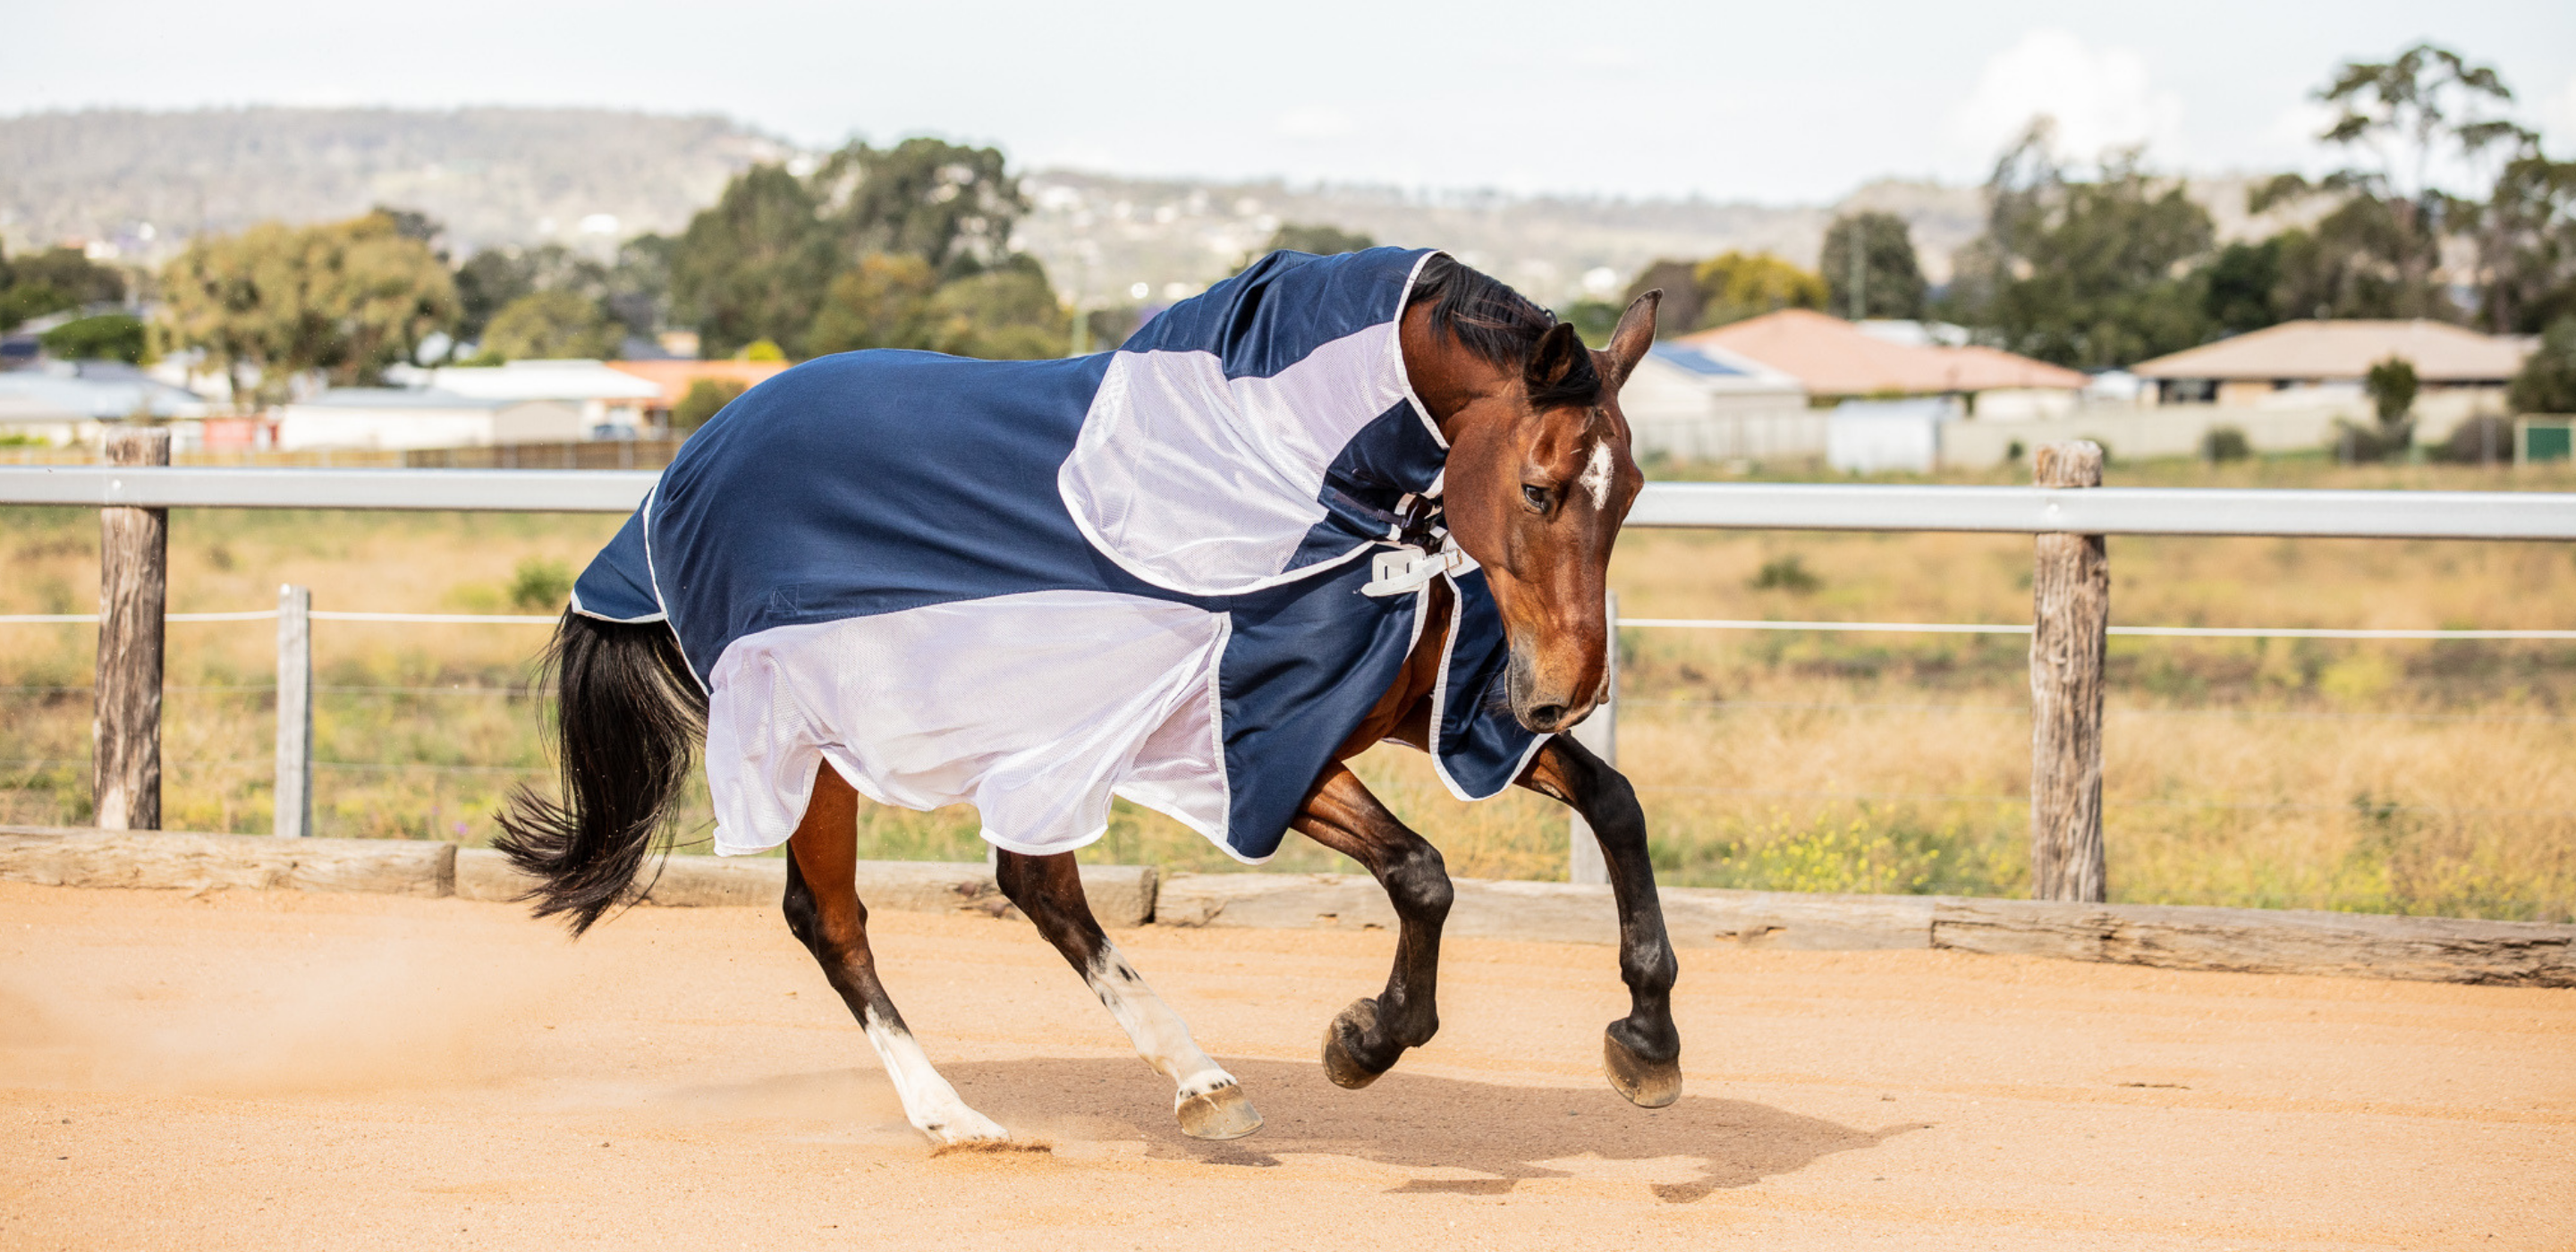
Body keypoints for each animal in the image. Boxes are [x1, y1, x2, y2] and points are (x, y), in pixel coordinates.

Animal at [494, 252, 1679, 1144]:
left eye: (1629, 492)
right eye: (1538, 487)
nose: (1564, 690)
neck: (1292, 476)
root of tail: (677, 475)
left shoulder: (1415, 708)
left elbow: (1617, 804)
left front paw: (1649, 1039)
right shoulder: (1251, 739)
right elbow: (1421, 871)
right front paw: (1366, 1037)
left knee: (1036, 884)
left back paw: (1199, 1080)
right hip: (815, 734)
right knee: (833, 917)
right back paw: (955, 1114)